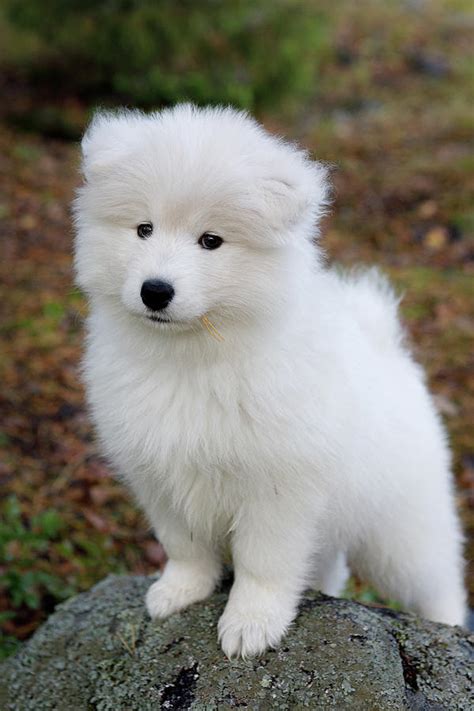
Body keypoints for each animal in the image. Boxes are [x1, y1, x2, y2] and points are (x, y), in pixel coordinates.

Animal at [74, 103, 466, 660]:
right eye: (143, 228)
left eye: (211, 241)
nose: (155, 291)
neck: (194, 359)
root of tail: (388, 348)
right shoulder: (159, 474)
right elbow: (184, 545)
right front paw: (178, 592)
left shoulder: (278, 487)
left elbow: (263, 562)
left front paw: (250, 625)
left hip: (404, 530)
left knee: (439, 583)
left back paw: (448, 626)